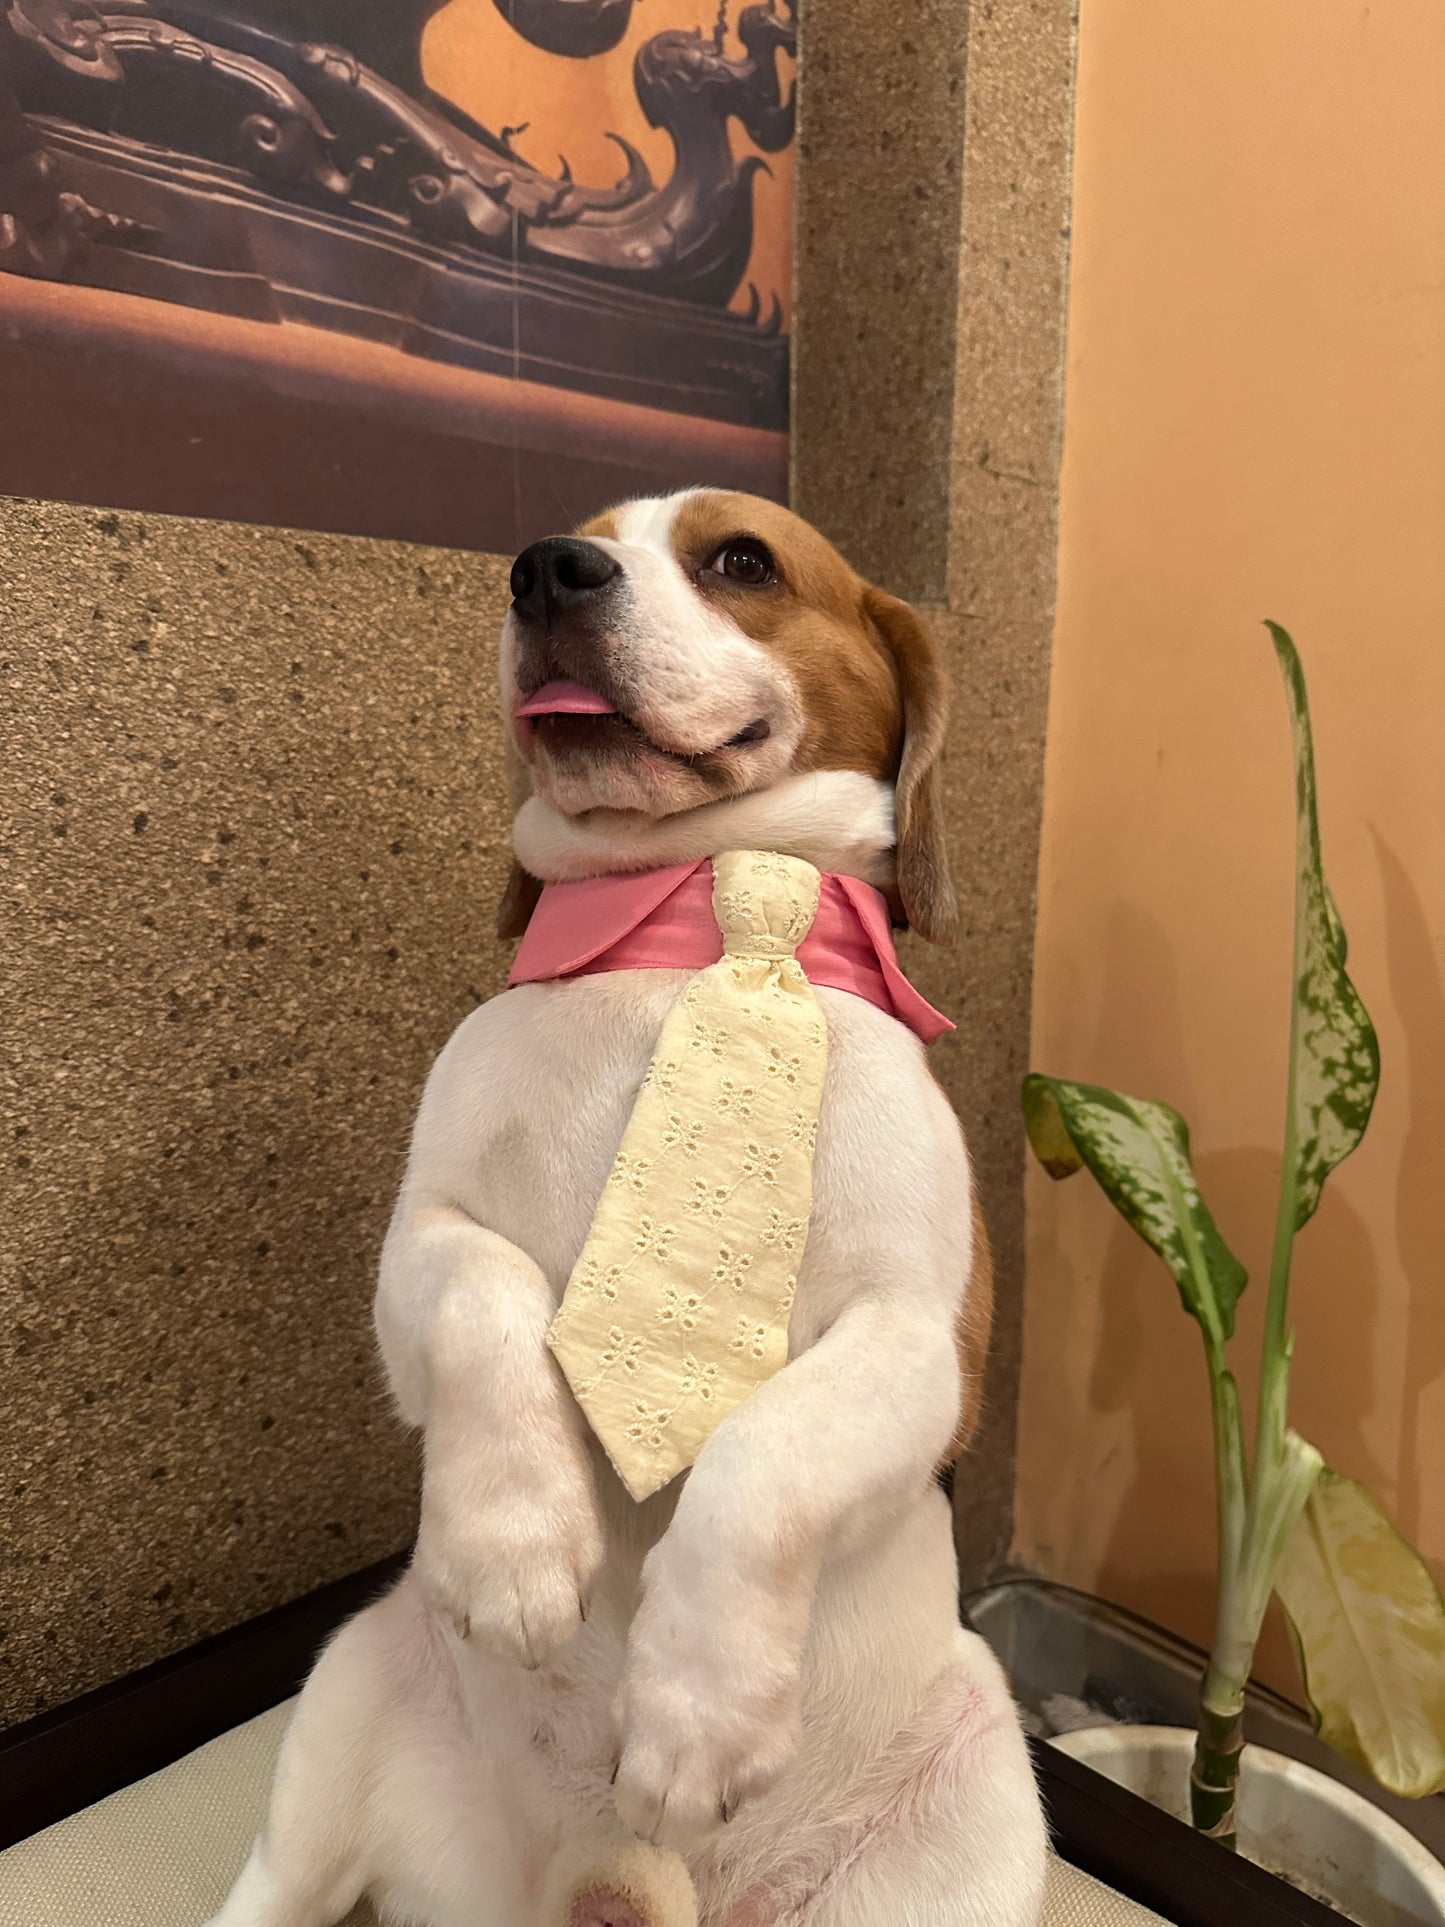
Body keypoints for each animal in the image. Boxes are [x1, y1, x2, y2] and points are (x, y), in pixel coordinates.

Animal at [209, 493, 1048, 1927]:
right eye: (570, 537)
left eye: (741, 561)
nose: (547, 569)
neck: (702, 921)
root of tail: (595, 1884)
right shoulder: (418, 1248)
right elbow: (489, 1301)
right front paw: (512, 1545)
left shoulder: (924, 1347)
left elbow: (766, 1453)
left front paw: (698, 1707)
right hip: (354, 1682)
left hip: (985, 1780)